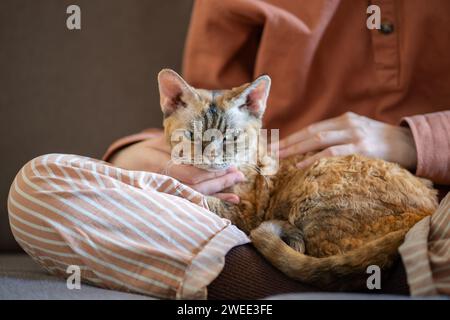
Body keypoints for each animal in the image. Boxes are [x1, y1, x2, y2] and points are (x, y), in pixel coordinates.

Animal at [156, 68, 438, 290]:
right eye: (193, 136)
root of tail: (425, 216)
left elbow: (202, 198)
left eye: (231, 137)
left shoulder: (243, 214)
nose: (211, 155)